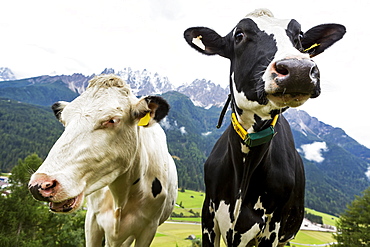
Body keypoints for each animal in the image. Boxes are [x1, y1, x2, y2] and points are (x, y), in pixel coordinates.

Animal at [27, 74, 178, 246]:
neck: (121, 197)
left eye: (112, 120)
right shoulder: (92, 219)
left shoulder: (149, 228)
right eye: (65, 121)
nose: (40, 184)